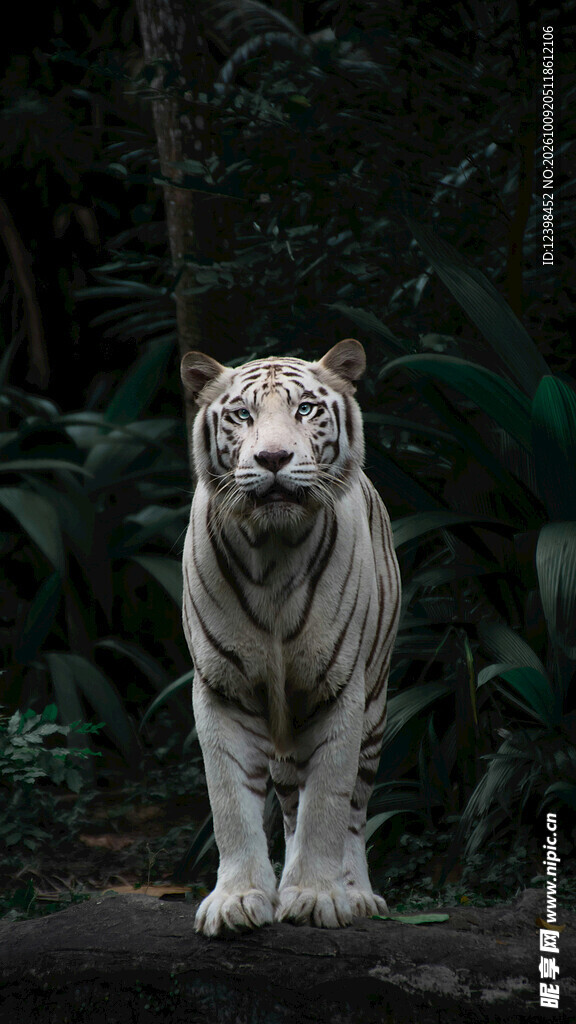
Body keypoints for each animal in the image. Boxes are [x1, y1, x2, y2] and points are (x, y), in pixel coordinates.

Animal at [180, 339, 401, 937]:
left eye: (305, 409)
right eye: (241, 414)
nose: (274, 459)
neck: (273, 551)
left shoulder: (340, 689)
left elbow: (327, 802)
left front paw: (317, 896)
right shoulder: (223, 689)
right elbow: (230, 803)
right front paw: (237, 900)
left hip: (375, 707)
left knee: (353, 810)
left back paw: (357, 894)